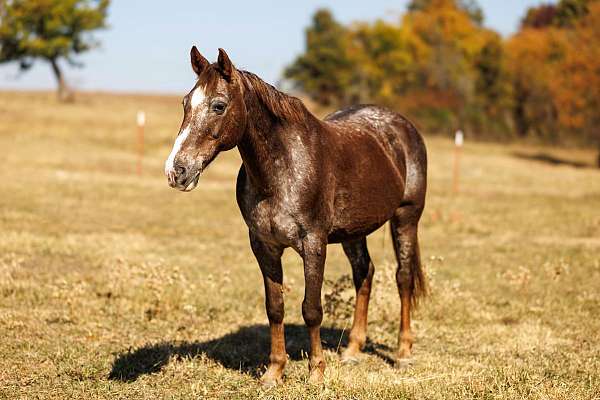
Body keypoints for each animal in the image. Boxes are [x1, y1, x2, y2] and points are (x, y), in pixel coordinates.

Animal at [164, 47, 426, 388]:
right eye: (185, 103)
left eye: (218, 105)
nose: (176, 171)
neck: (282, 169)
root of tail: (402, 126)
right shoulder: (264, 246)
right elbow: (275, 307)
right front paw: (274, 372)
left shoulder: (313, 244)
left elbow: (311, 308)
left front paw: (316, 373)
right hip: (354, 232)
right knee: (364, 274)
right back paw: (353, 350)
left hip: (406, 218)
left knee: (403, 278)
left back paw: (403, 353)